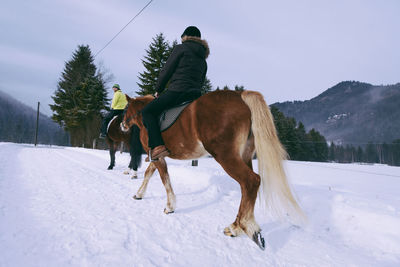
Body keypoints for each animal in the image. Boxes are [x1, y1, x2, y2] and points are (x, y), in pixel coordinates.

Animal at [119, 90, 304, 249]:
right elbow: (149, 173)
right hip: (244, 155)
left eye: (125, 108)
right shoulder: (157, 156)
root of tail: (240, 95)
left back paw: (240, 227)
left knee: (251, 181)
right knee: (247, 187)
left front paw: (169, 206)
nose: (122, 125)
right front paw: (139, 194)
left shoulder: (157, 156)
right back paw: (237, 226)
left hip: (225, 156)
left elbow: (164, 178)